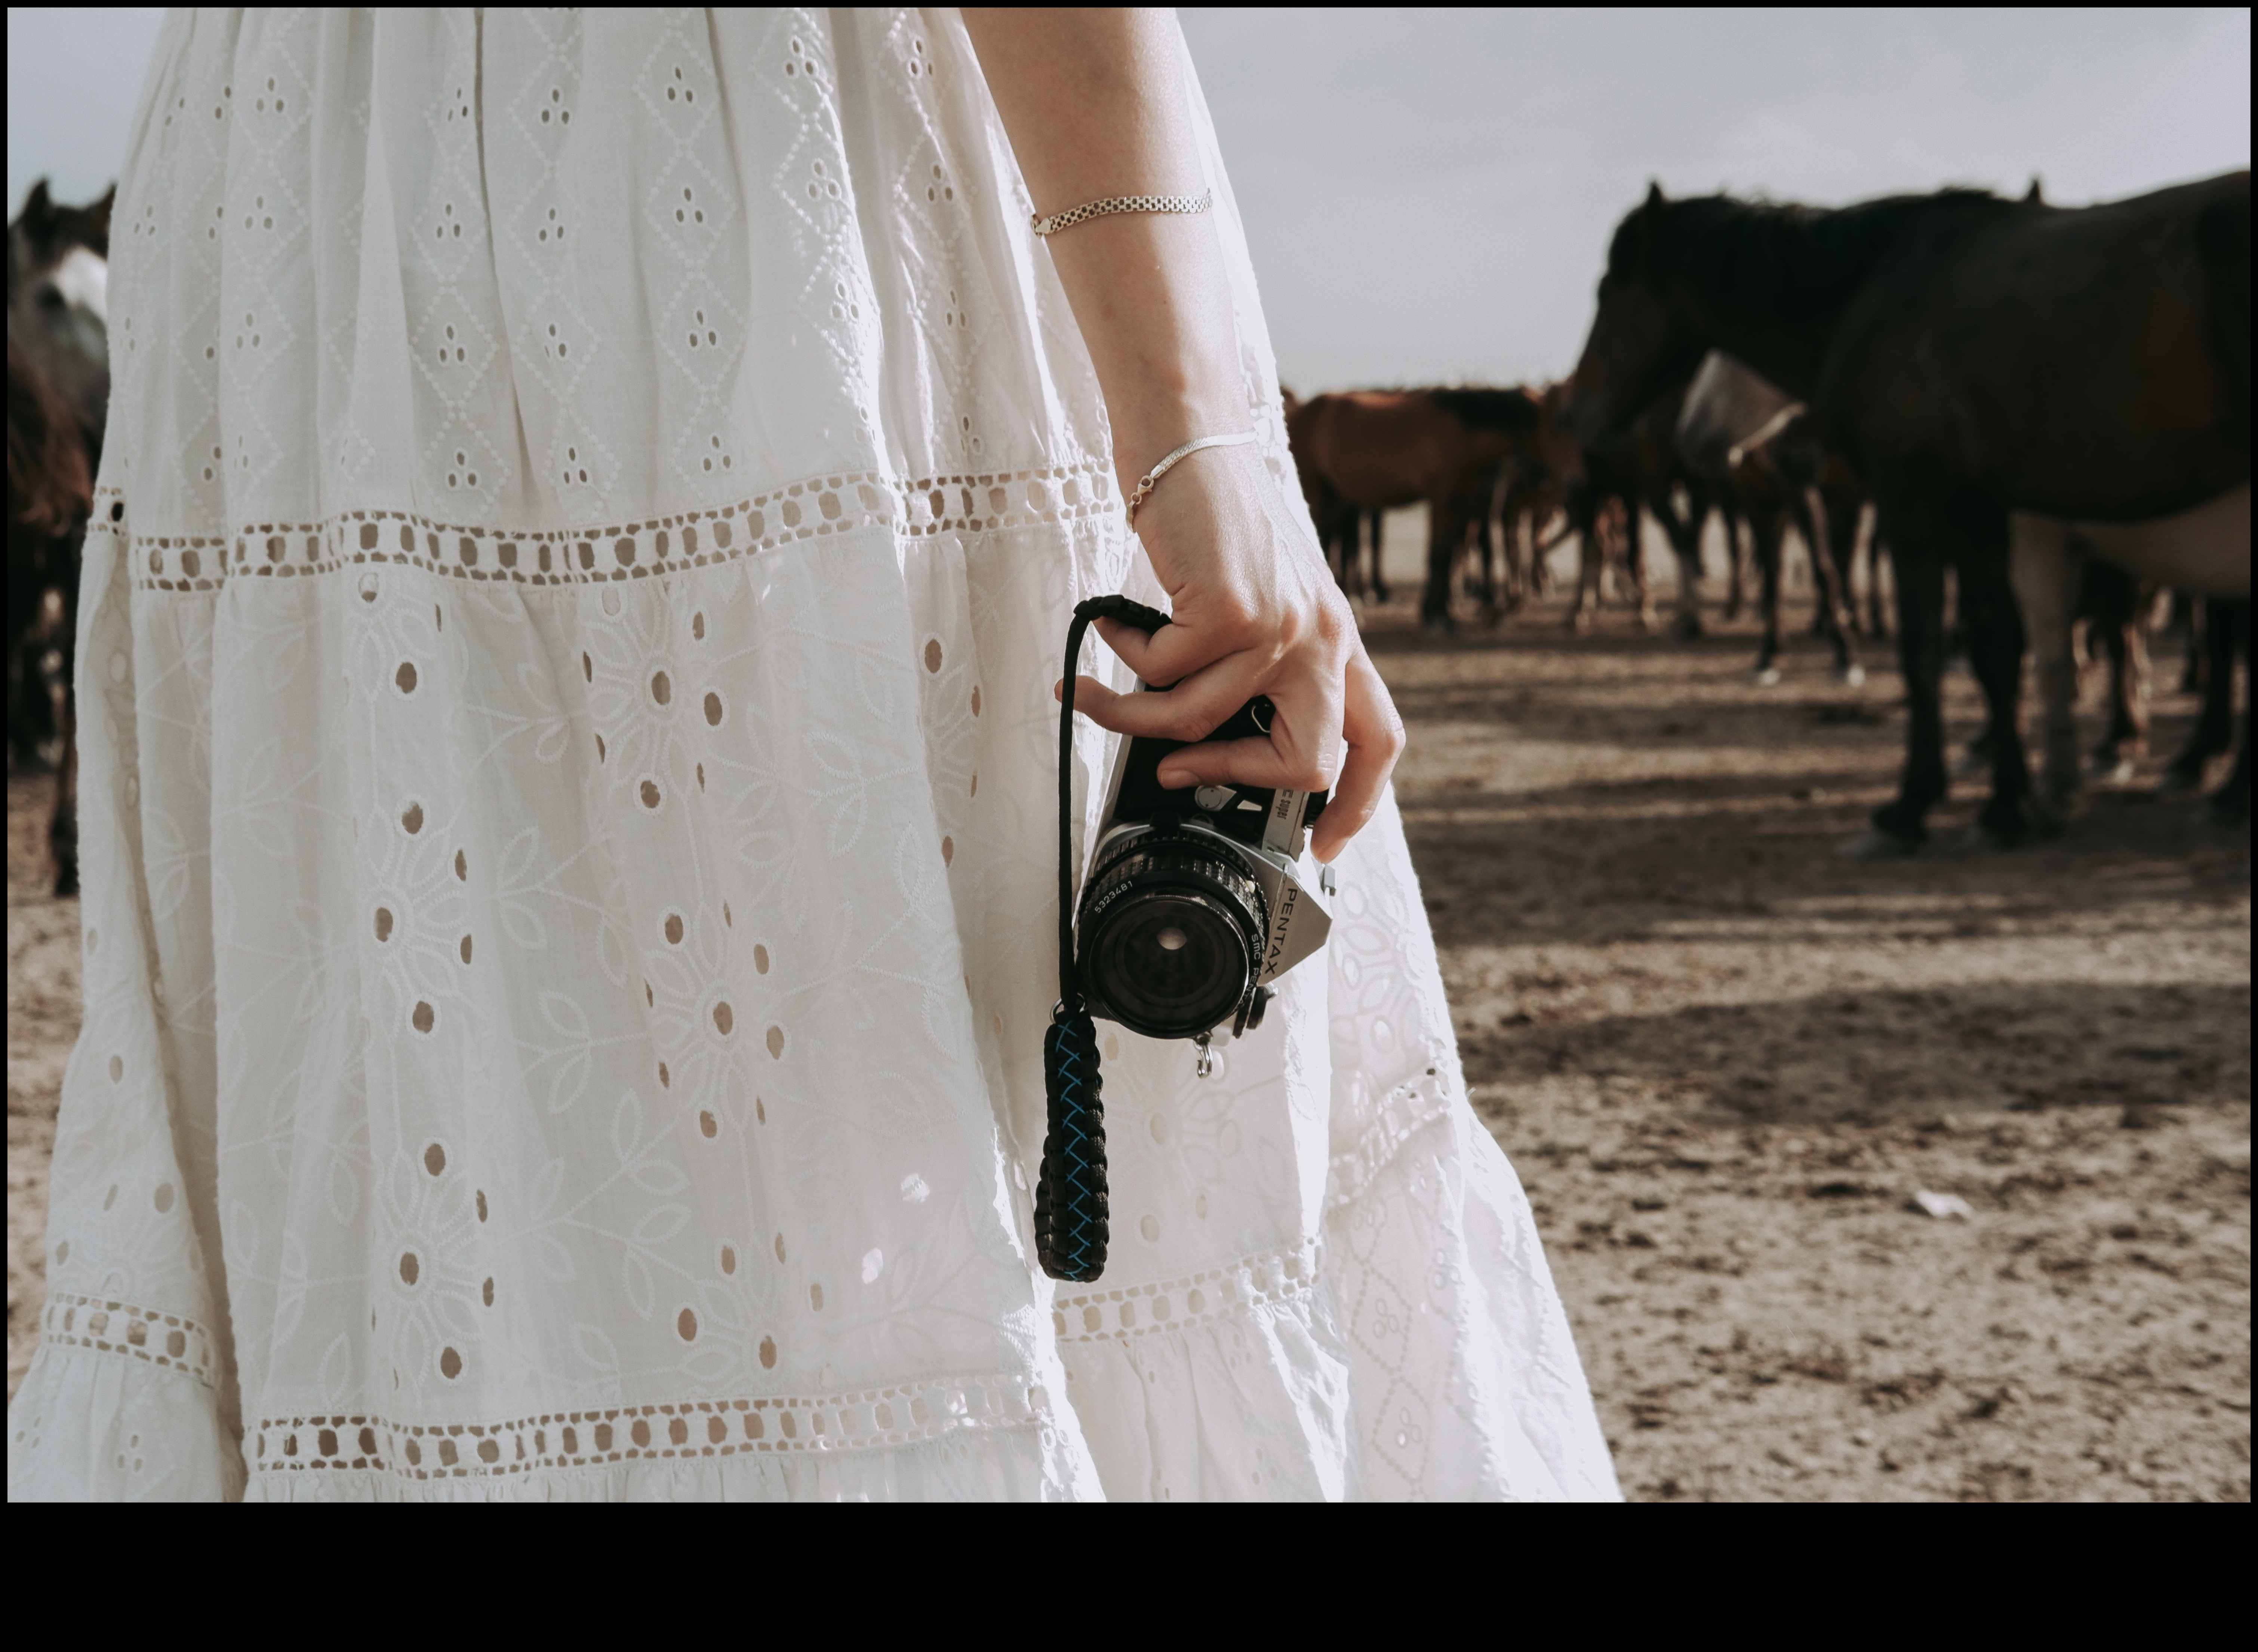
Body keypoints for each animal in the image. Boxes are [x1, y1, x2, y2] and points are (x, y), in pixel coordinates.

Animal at [1571, 173, 2240, 853]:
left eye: (1606, 292)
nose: (1579, 413)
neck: (1873, 292)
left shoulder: (1914, 502)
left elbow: (1926, 647)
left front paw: (1910, 806)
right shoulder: (1983, 516)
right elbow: (1998, 647)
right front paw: (2006, 804)